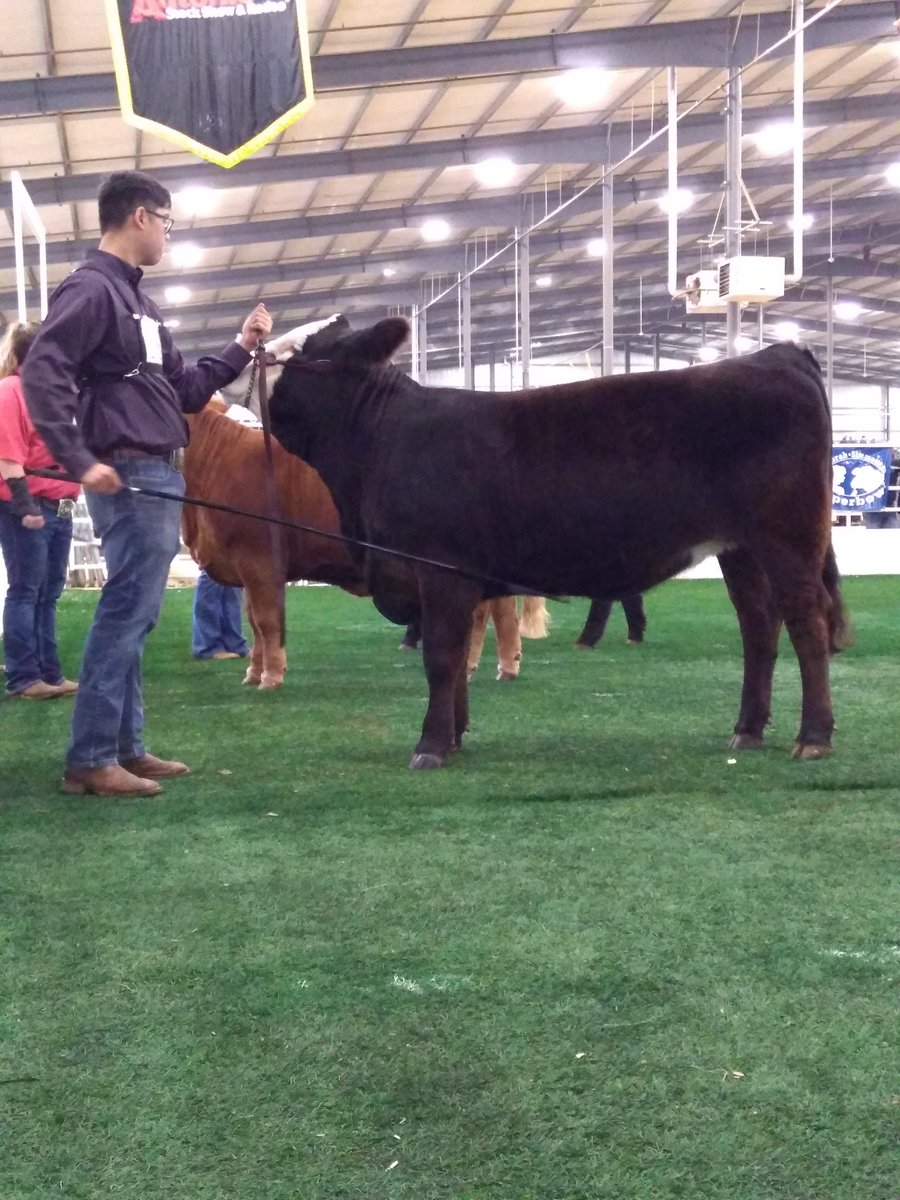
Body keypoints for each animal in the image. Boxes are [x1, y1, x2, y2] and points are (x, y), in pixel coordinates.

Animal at [182, 397, 366, 689]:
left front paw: (270, 678)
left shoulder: (259, 562)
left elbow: (267, 620)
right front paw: (254, 673)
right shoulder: (245, 570)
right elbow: (254, 622)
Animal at [266, 315, 849, 770]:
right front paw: (455, 736)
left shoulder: (439, 569)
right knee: (758, 625)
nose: (258, 357)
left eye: (297, 352)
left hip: (787, 536)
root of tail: (779, 355)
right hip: (740, 549)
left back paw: (813, 737)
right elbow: (457, 660)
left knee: (806, 621)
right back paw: (747, 729)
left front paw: (430, 745)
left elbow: (441, 657)